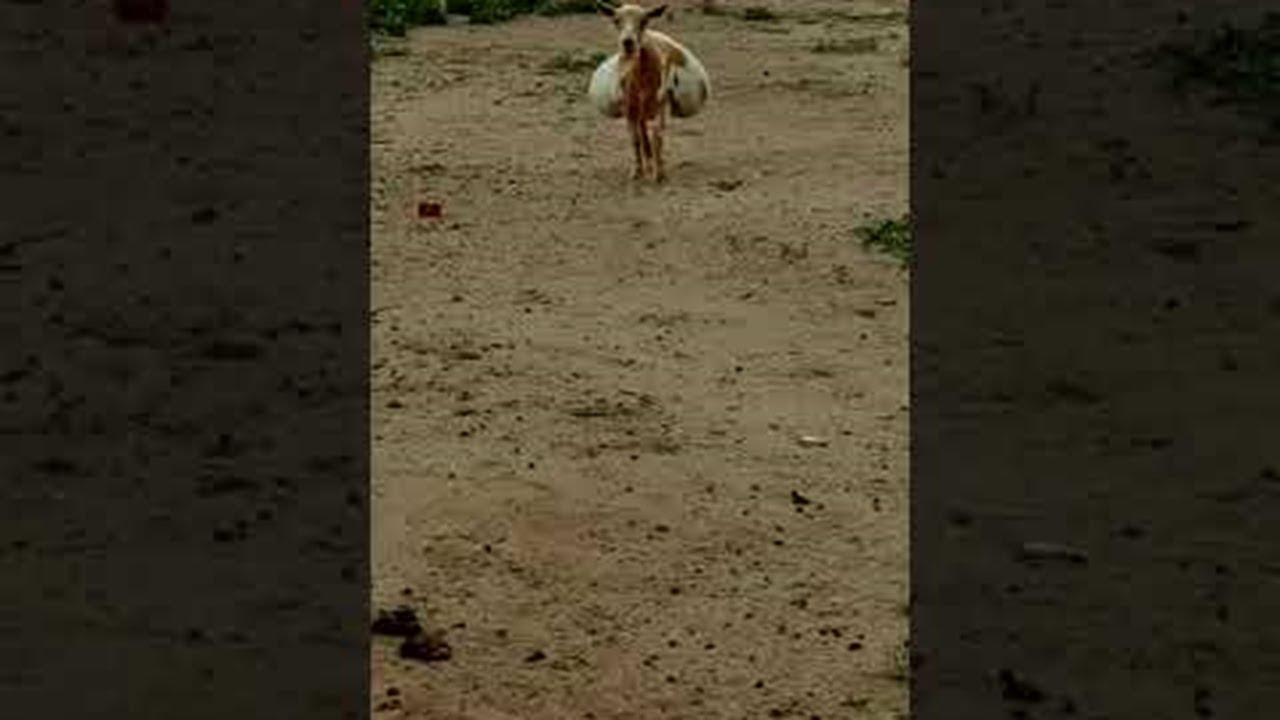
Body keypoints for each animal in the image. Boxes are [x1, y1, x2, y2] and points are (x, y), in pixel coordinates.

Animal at [588, 2, 711, 182]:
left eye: (644, 21)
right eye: (616, 21)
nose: (628, 43)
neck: (641, 79)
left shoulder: (659, 106)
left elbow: (657, 137)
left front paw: (660, 174)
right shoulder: (630, 109)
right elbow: (636, 139)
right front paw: (637, 172)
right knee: (642, 134)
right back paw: (648, 163)